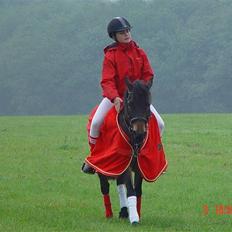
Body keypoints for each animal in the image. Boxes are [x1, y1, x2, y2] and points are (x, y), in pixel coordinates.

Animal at [82, 78, 166, 225]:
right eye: (130, 104)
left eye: (147, 103)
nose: (139, 133)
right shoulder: (124, 163)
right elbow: (131, 191)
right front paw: (134, 219)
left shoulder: (140, 165)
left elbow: (138, 190)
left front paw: (136, 213)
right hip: (103, 164)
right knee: (105, 186)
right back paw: (109, 213)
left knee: (120, 185)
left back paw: (124, 211)